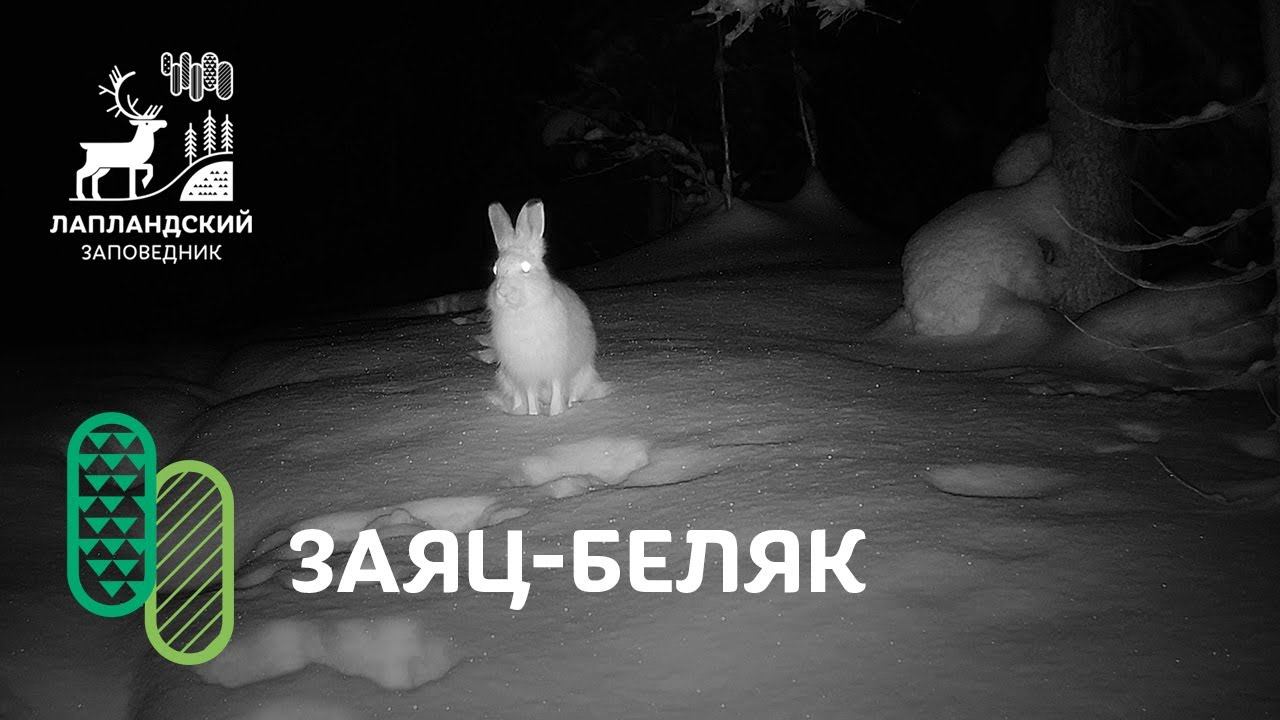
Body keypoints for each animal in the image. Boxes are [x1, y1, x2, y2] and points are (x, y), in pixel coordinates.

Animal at [485, 199, 610, 416]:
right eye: (495, 270)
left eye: (526, 268)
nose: (502, 292)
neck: (522, 311)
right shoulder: (526, 372)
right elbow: (530, 394)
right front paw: (534, 416)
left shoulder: (556, 367)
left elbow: (557, 388)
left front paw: (556, 414)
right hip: (506, 377)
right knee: (519, 397)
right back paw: (518, 410)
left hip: (581, 374)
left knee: (573, 393)